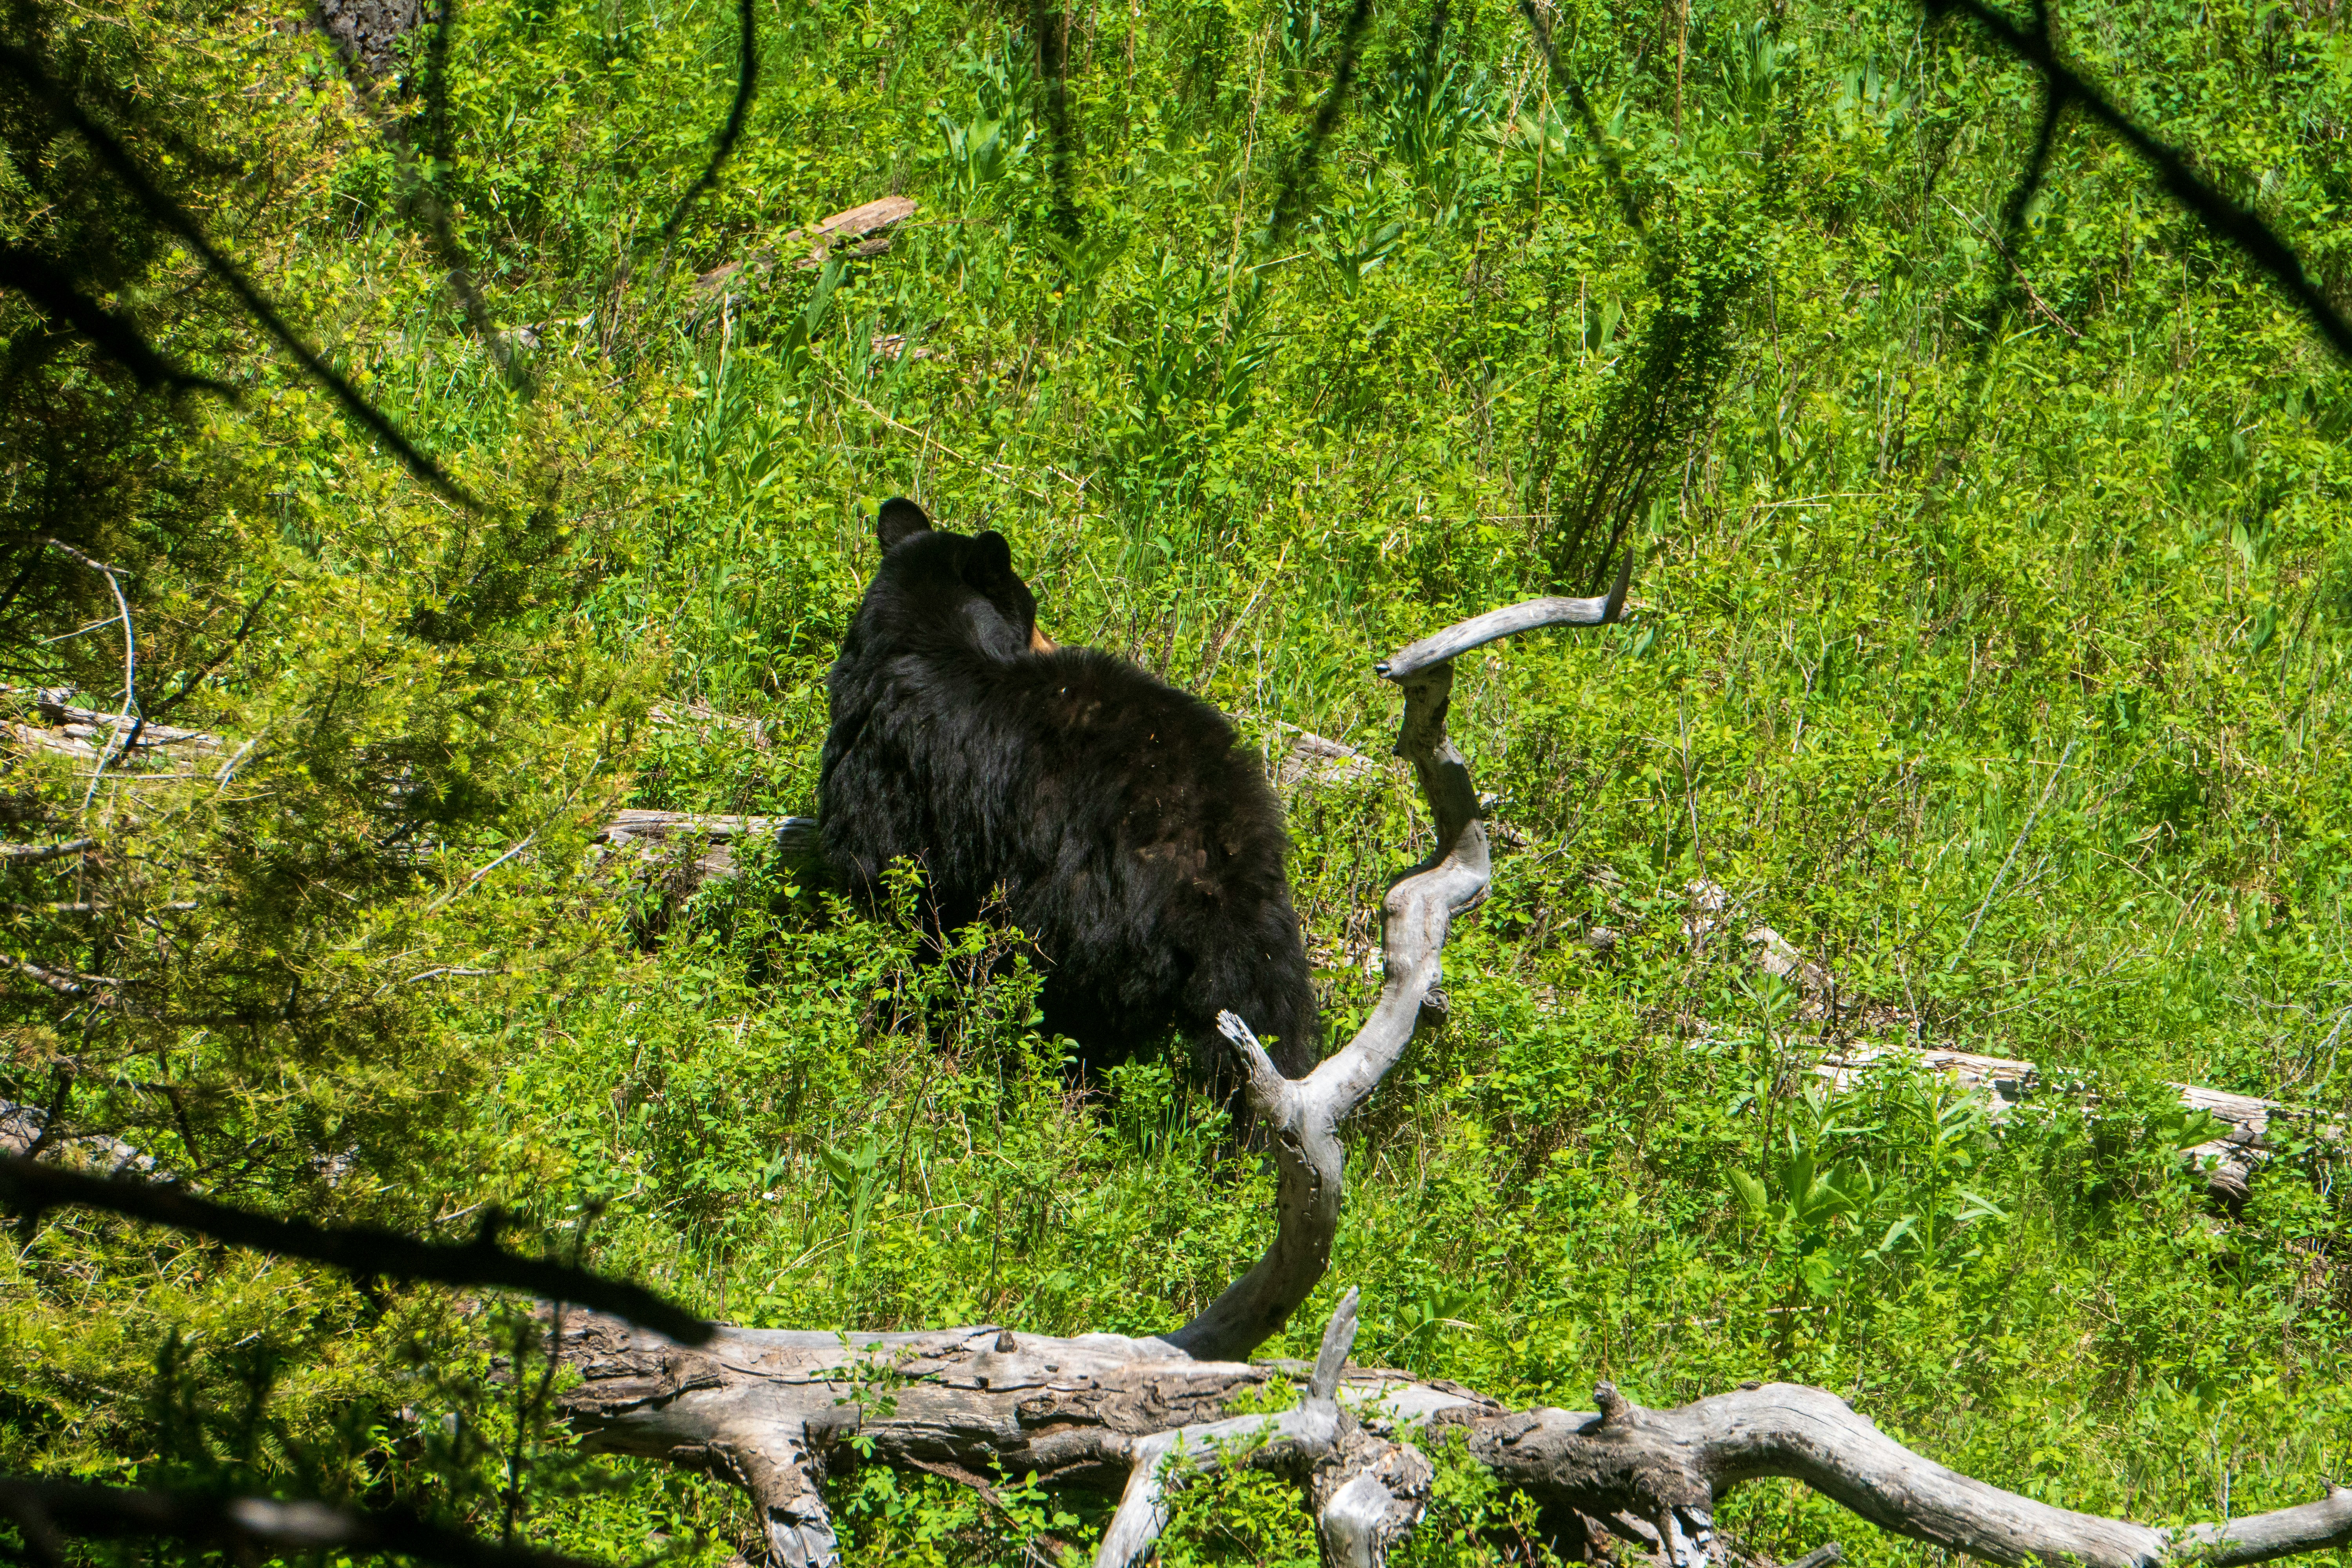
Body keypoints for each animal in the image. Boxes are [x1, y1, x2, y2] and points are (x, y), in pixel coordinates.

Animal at [817, 496, 1322, 1090]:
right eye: (1032, 609)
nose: (1050, 642)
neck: (923, 640)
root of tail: (1212, 864)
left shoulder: (891, 775)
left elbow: (887, 888)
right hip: (1269, 924)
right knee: (1275, 1013)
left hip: (1083, 913)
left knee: (1071, 1013)